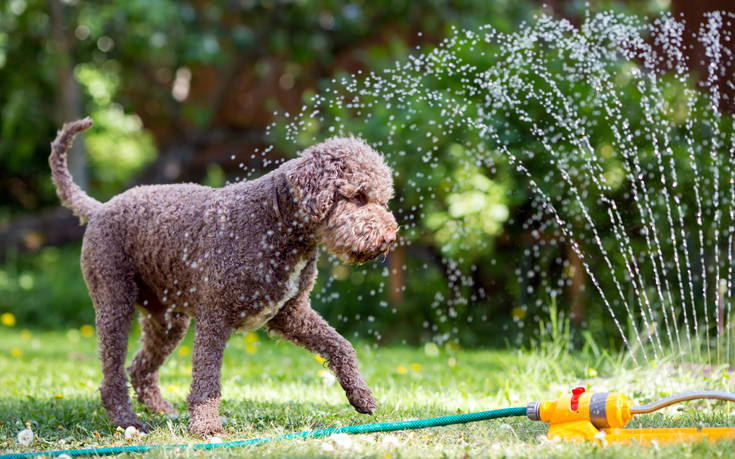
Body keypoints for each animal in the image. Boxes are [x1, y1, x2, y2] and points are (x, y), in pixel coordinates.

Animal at [49, 117, 400, 436]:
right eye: (358, 196)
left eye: (383, 200)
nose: (389, 237)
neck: (273, 224)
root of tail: (99, 208)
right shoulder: (214, 318)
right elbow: (206, 381)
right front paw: (206, 427)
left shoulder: (291, 313)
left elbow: (341, 346)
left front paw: (361, 395)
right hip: (115, 305)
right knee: (112, 375)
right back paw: (127, 420)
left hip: (168, 321)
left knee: (140, 368)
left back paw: (161, 410)